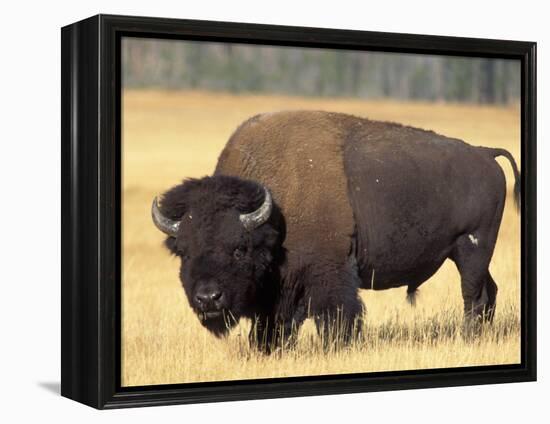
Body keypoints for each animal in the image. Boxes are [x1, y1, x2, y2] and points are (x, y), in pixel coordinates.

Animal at [152, 109, 520, 352]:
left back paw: (468, 338)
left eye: (239, 248)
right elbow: (275, 323)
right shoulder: (281, 289)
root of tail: (485, 154)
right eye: (183, 252)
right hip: (469, 254)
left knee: (473, 295)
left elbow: (335, 315)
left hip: (472, 248)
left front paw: (338, 346)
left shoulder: (329, 272)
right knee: (489, 291)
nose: (208, 298)